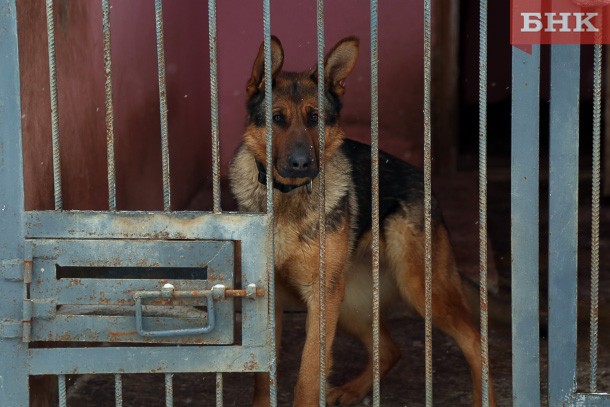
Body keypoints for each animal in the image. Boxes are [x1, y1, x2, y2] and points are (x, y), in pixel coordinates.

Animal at [229, 36, 494, 406]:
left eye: (315, 118)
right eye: (278, 118)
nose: (301, 164)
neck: (287, 200)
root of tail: (426, 185)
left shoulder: (320, 297)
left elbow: (309, 374)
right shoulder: (270, 300)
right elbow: (263, 375)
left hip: (418, 290)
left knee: (475, 342)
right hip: (349, 304)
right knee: (391, 349)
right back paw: (352, 390)